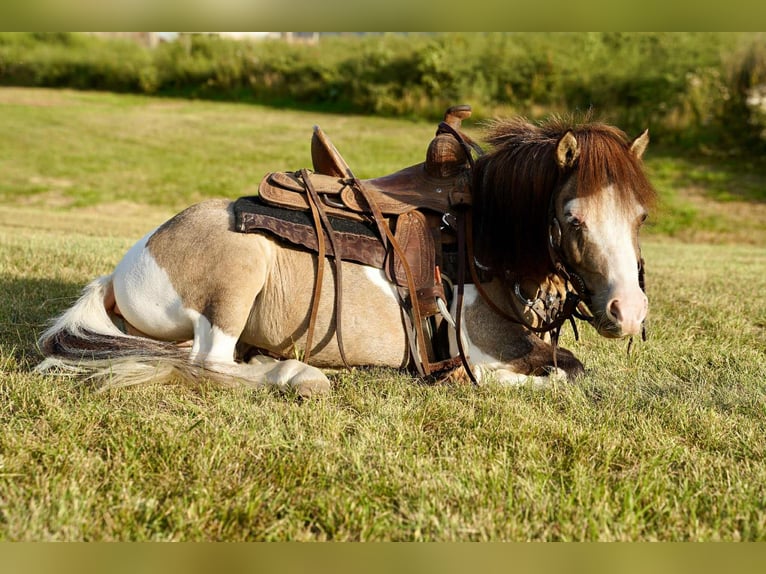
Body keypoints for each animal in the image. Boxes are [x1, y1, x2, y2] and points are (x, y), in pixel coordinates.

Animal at [36, 114, 656, 396]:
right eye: (573, 217)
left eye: (641, 217)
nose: (628, 313)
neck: (482, 240)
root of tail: (124, 268)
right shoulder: (483, 341)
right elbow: (561, 373)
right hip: (237, 279)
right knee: (209, 362)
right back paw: (294, 373)